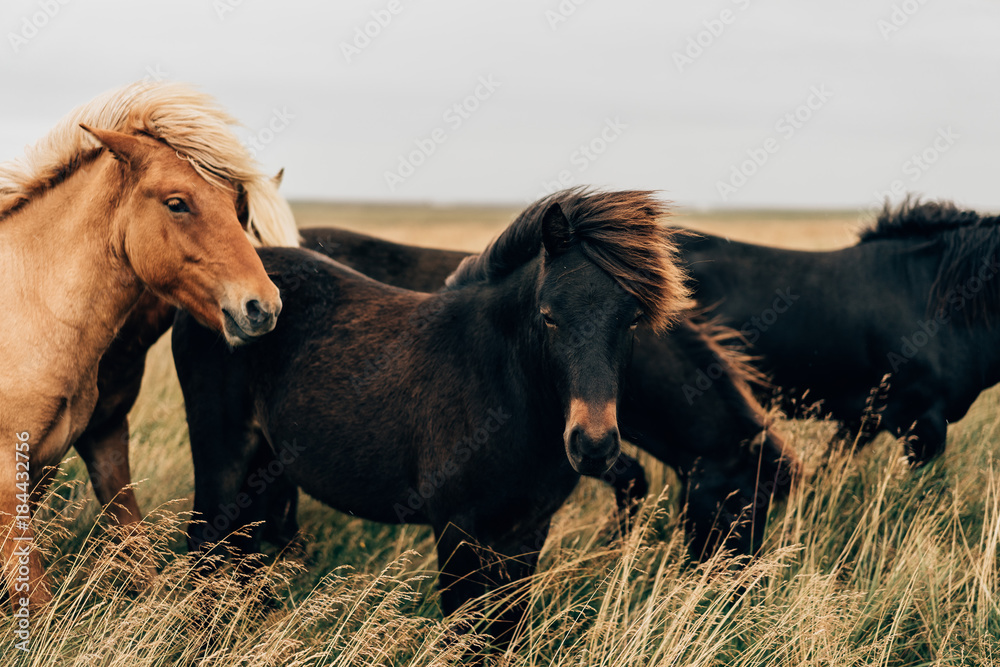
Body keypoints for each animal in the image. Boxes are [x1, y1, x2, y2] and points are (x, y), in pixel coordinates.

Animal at [0, 81, 289, 607]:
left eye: (237, 207)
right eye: (177, 203)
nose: (264, 307)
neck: (28, 308)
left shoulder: (89, 447)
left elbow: (136, 549)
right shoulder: (10, 480)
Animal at [172, 189, 688, 645]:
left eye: (633, 319)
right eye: (548, 316)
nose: (594, 445)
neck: (500, 389)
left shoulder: (526, 532)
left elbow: (505, 632)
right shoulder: (456, 530)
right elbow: (464, 632)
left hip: (263, 465)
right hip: (222, 457)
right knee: (206, 548)